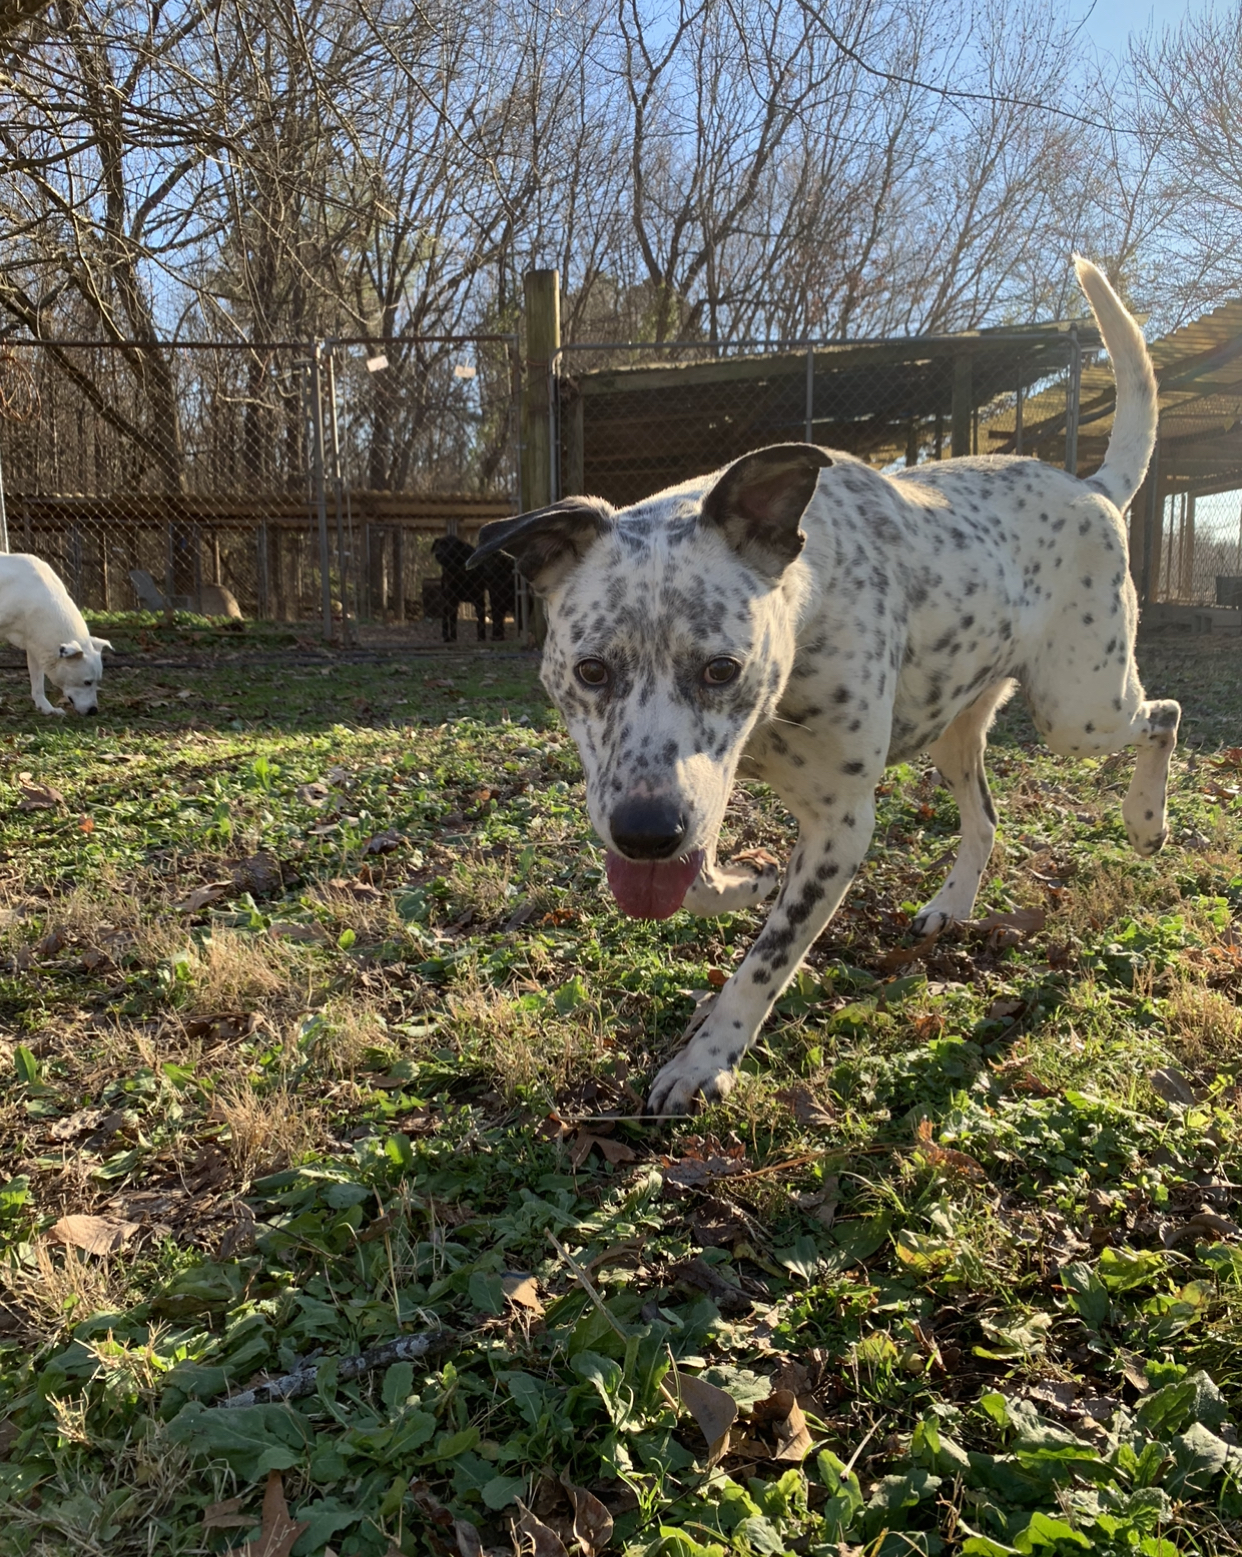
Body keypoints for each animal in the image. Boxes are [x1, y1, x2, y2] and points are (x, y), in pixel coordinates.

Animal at [473, 264, 1182, 1121]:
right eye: (591, 671)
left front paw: (707, 1057)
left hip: (1080, 708)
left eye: (722, 668)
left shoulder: (839, 824)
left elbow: (765, 961)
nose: (644, 834)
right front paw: (749, 877)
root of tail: (1094, 487)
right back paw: (952, 903)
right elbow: (702, 874)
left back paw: (1146, 821)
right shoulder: (684, 785)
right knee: (985, 817)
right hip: (957, 729)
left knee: (1163, 714)